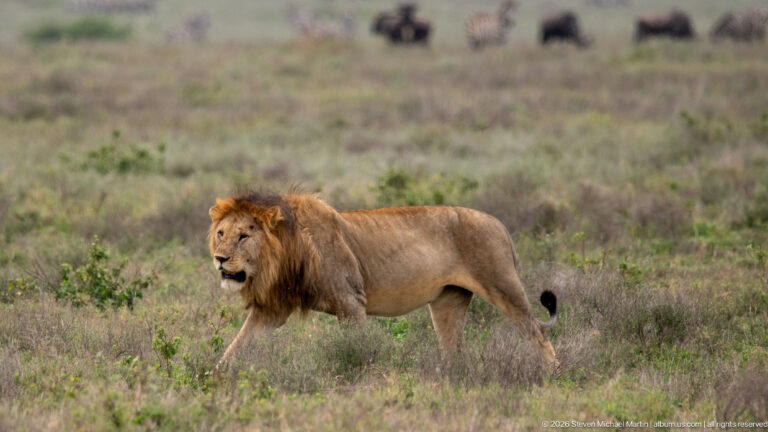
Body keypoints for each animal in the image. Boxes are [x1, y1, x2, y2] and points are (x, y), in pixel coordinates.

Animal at [208, 192, 558, 371]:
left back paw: (552, 374)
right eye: (221, 233)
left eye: (243, 236)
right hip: (448, 301)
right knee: (454, 349)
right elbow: (238, 344)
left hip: (502, 285)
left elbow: (357, 347)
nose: (220, 259)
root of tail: (499, 223)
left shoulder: (350, 300)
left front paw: (362, 375)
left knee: (536, 331)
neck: (282, 255)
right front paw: (213, 378)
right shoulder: (272, 309)